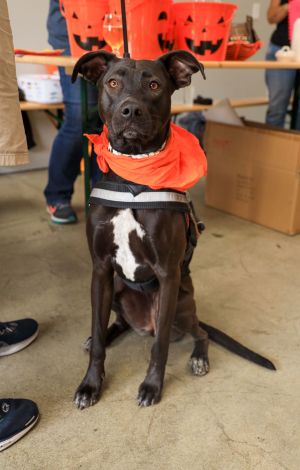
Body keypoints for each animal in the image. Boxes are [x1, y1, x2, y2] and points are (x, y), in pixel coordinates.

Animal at [71, 50, 276, 408]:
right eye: (113, 83)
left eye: (154, 85)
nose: (130, 109)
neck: (134, 179)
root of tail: (143, 325)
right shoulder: (100, 270)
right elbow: (96, 338)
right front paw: (90, 384)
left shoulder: (167, 274)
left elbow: (161, 344)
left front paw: (152, 386)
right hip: (117, 291)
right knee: (117, 323)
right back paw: (110, 334)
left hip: (181, 305)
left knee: (200, 333)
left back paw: (199, 357)